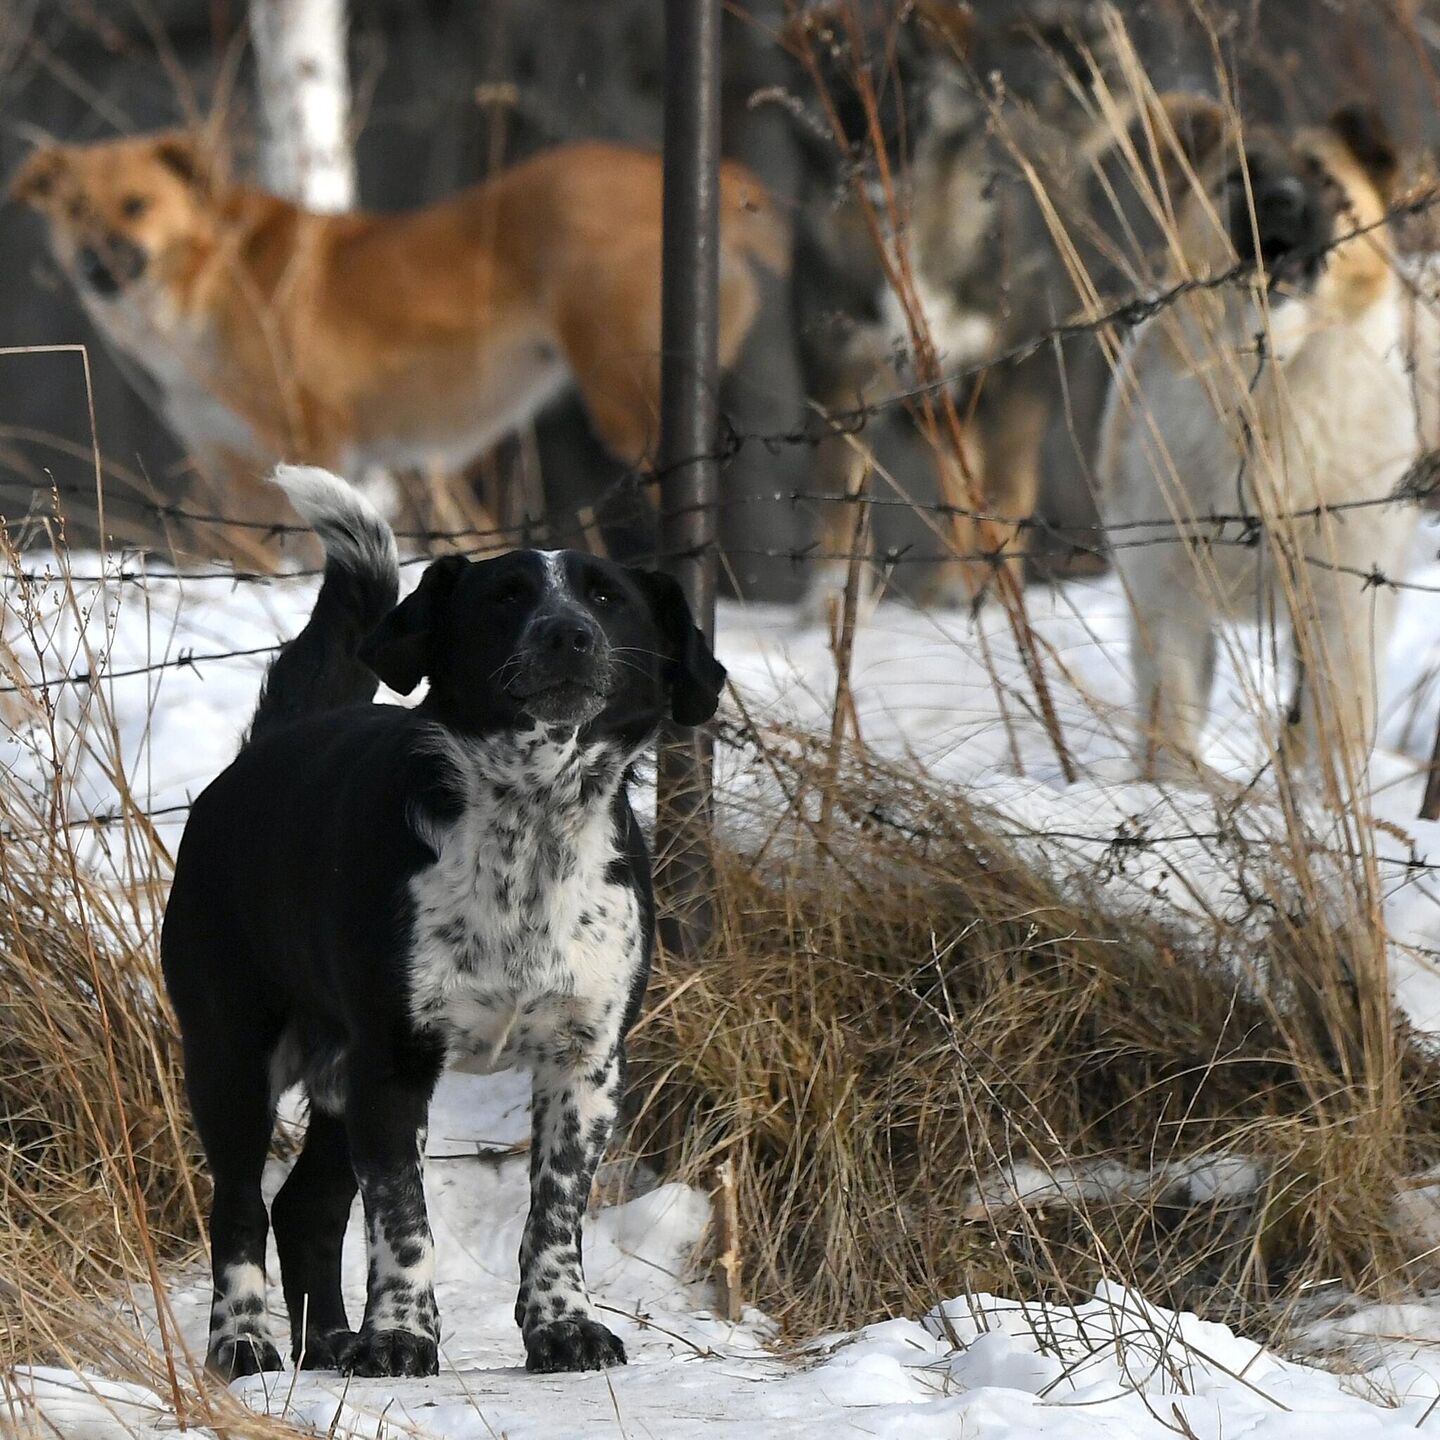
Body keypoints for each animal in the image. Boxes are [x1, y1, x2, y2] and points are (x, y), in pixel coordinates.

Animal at [163, 466, 725, 1376]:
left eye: (607, 598)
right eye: (505, 597)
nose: (567, 635)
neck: (532, 824)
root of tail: (260, 754)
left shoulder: (586, 1063)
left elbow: (555, 1215)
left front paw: (562, 1326)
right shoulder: (395, 1064)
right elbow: (405, 1221)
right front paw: (398, 1337)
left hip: (335, 1074)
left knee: (306, 1207)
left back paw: (329, 1342)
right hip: (233, 1056)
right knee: (240, 1207)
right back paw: (244, 1342)